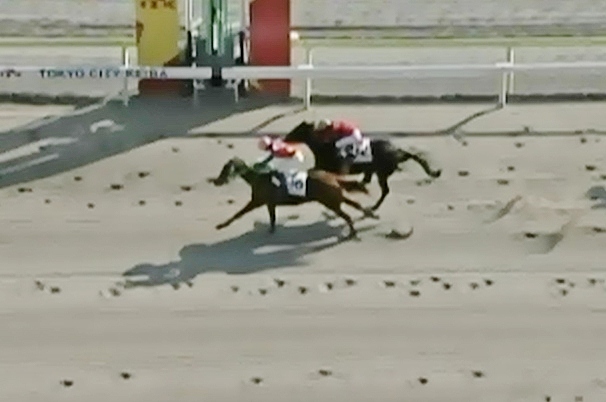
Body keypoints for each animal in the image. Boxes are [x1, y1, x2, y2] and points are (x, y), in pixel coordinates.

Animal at [207, 157, 379, 240]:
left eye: (226, 169)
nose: (216, 181)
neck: (258, 178)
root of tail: (333, 177)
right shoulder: (270, 203)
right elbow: (272, 218)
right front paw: (271, 229)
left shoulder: (257, 201)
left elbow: (238, 214)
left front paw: (221, 225)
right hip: (334, 198)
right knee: (354, 204)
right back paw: (370, 214)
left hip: (330, 201)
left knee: (347, 214)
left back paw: (353, 232)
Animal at [283, 121, 442, 211]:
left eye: (298, 130)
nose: (285, 138)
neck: (323, 148)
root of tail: (397, 151)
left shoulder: (334, 170)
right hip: (373, 170)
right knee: (368, 181)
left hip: (381, 173)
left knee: (385, 190)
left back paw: (373, 207)